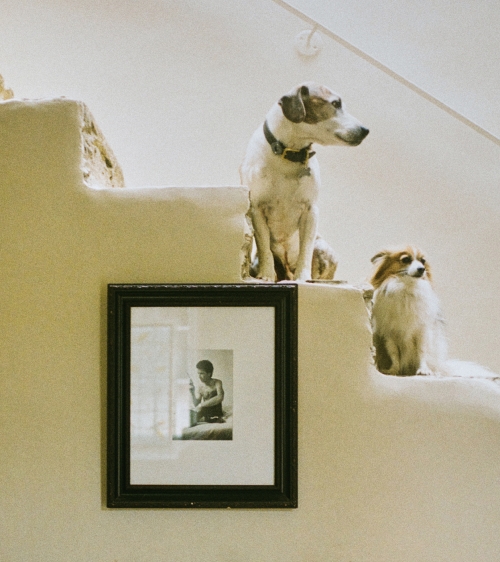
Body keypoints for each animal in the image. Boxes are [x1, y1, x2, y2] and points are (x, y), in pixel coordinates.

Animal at [240, 82, 369, 282]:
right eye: (335, 103)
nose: (365, 130)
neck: (289, 153)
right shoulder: (256, 209)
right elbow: (264, 247)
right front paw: (267, 275)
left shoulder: (310, 211)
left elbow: (305, 251)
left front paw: (303, 278)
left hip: (323, 248)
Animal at [369, 246, 447, 377]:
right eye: (406, 259)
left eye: (423, 261)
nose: (422, 269)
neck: (407, 288)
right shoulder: (389, 334)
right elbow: (394, 353)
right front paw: (393, 370)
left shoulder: (422, 331)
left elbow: (421, 351)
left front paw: (423, 370)